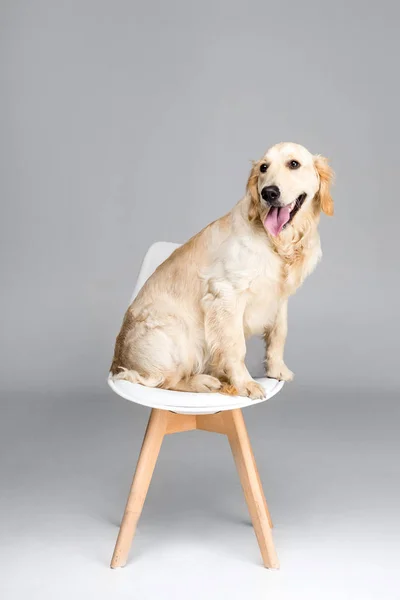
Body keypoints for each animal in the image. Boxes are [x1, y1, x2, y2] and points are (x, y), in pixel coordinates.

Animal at [111, 142, 332, 398]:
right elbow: (236, 347)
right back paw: (204, 382)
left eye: (294, 164)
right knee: (164, 380)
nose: (268, 193)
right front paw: (245, 384)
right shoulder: (226, 294)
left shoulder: (279, 296)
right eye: (264, 168)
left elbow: (279, 333)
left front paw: (277, 370)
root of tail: (117, 364)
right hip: (178, 332)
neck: (277, 243)